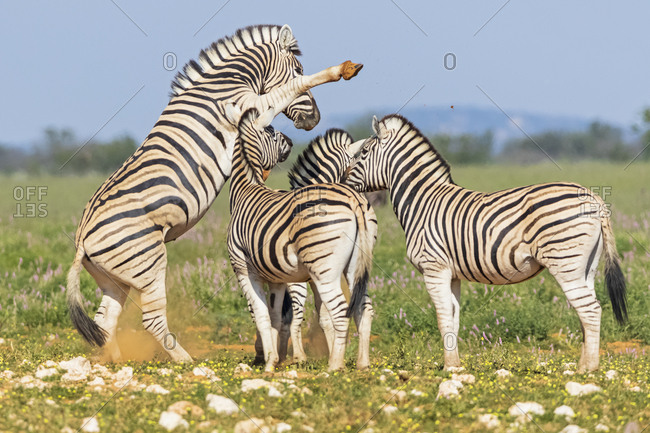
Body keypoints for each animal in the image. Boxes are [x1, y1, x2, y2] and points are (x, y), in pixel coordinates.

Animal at [65, 24, 364, 362]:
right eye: (298, 68)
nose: (314, 119)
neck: (229, 82)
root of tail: (82, 239)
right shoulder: (252, 106)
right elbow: (287, 90)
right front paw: (342, 69)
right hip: (148, 264)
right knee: (151, 319)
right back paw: (184, 361)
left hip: (116, 279)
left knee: (105, 321)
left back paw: (115, 362)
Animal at [227, 107, 376, 372]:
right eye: (273, 132)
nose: (289, 142)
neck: (246, 188)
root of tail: (353, 200)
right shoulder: (278, 278)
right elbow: (279, 317)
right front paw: (276, 358)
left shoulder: (244, 269)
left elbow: (265, 314)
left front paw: (274, 361)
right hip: (352, 267)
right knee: (363, 307)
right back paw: (361, 363)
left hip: (323, 268)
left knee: (339, 311)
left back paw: (334, 366)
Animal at [345, 114, 627, 373]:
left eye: (364, 153)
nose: (343, 181)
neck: (423, 202)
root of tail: (593, 197)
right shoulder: (452, 274)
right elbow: (454, 319)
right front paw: (456, 366)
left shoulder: (434, 268)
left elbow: (442, 318)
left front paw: (449, 368)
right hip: (585, 267)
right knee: (587, 311)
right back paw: (584, 365)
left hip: (565, 262)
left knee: (591, 310)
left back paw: (587, 370)